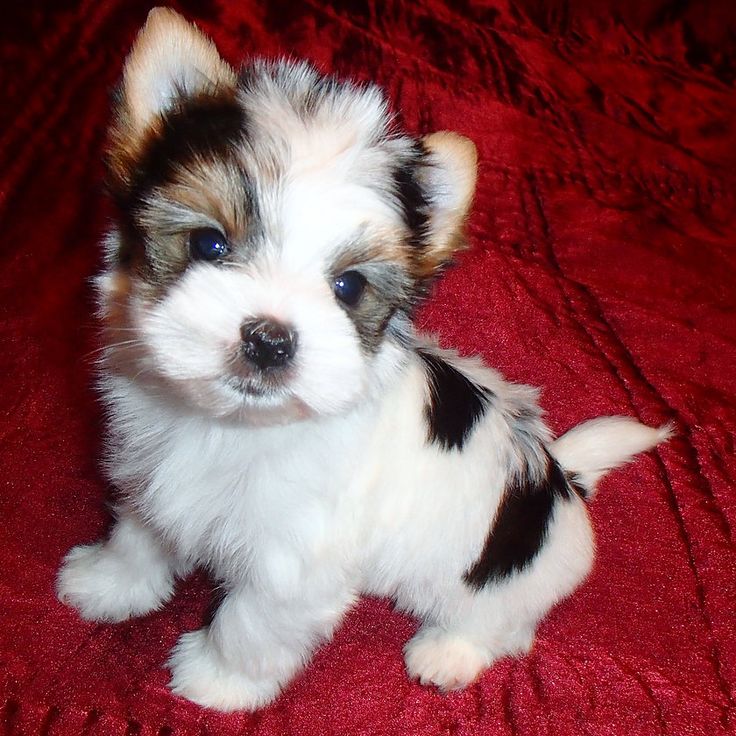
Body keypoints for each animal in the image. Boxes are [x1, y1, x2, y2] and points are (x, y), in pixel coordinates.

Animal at [56, 8, 668, 712]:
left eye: (348, 287)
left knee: (499, 623)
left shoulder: (293, 561)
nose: (269, 338)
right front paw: (108, 583)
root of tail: (562, 476)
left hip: (502, 581)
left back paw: (447, 652)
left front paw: (218, 679)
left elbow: (252, 620)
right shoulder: (153, 475)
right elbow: (139, 533)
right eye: (208, 243)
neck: (230, 425)